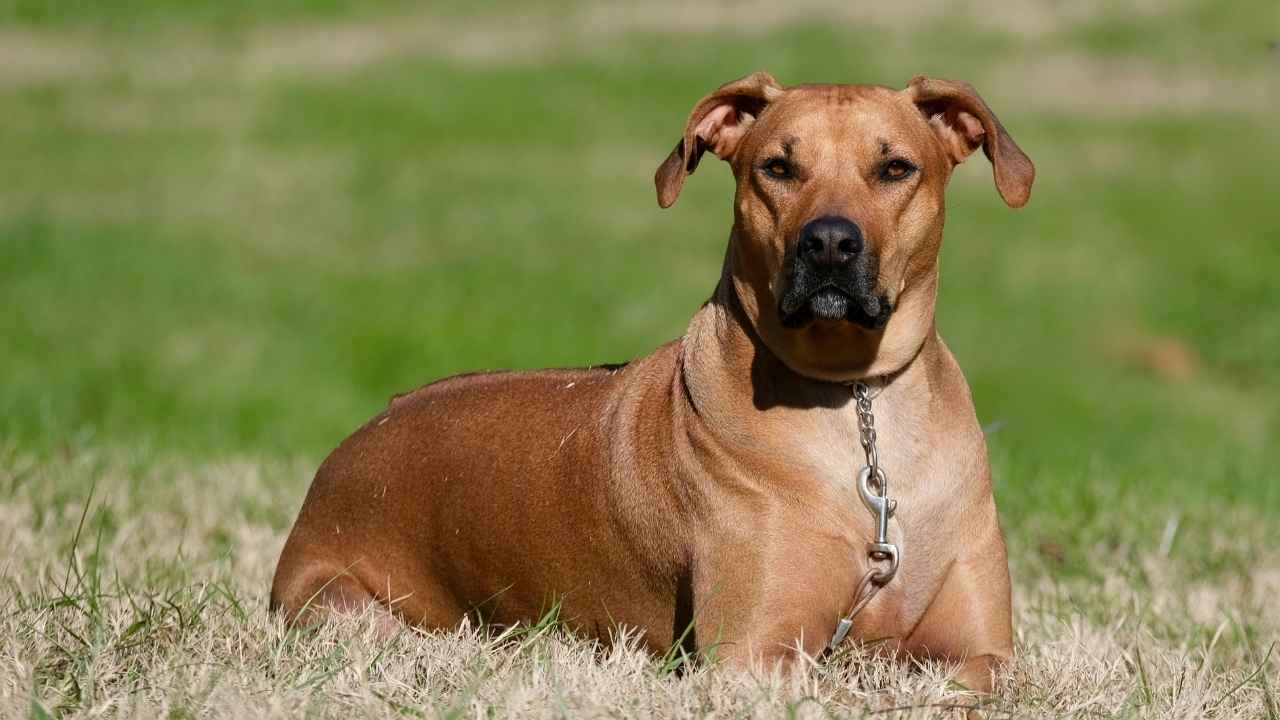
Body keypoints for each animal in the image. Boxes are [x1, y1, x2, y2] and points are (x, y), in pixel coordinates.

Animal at [267, 71, 1029, 691]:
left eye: (896, 167)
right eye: (777, 167)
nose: (830, 243)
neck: (855, 402)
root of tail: (344, 451)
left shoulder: (983, 651)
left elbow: (971, 675)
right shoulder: (752, 656)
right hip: (348, 611)